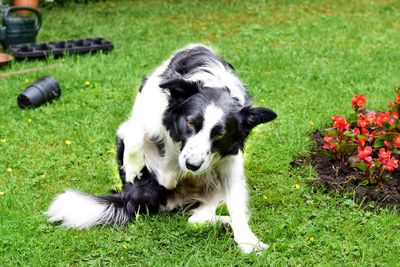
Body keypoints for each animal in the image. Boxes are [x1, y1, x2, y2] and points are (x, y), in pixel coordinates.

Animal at [47, 45, 276, 254]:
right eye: (190, 123)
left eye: (219, 135)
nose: (192, 165)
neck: (214, 83)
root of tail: (127, 197)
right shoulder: (142, 114)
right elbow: (140, 140)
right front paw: (136, 167)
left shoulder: (229, 158)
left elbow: (236, 202)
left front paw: (248, 241)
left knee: (196, 219)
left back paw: (226, 222)